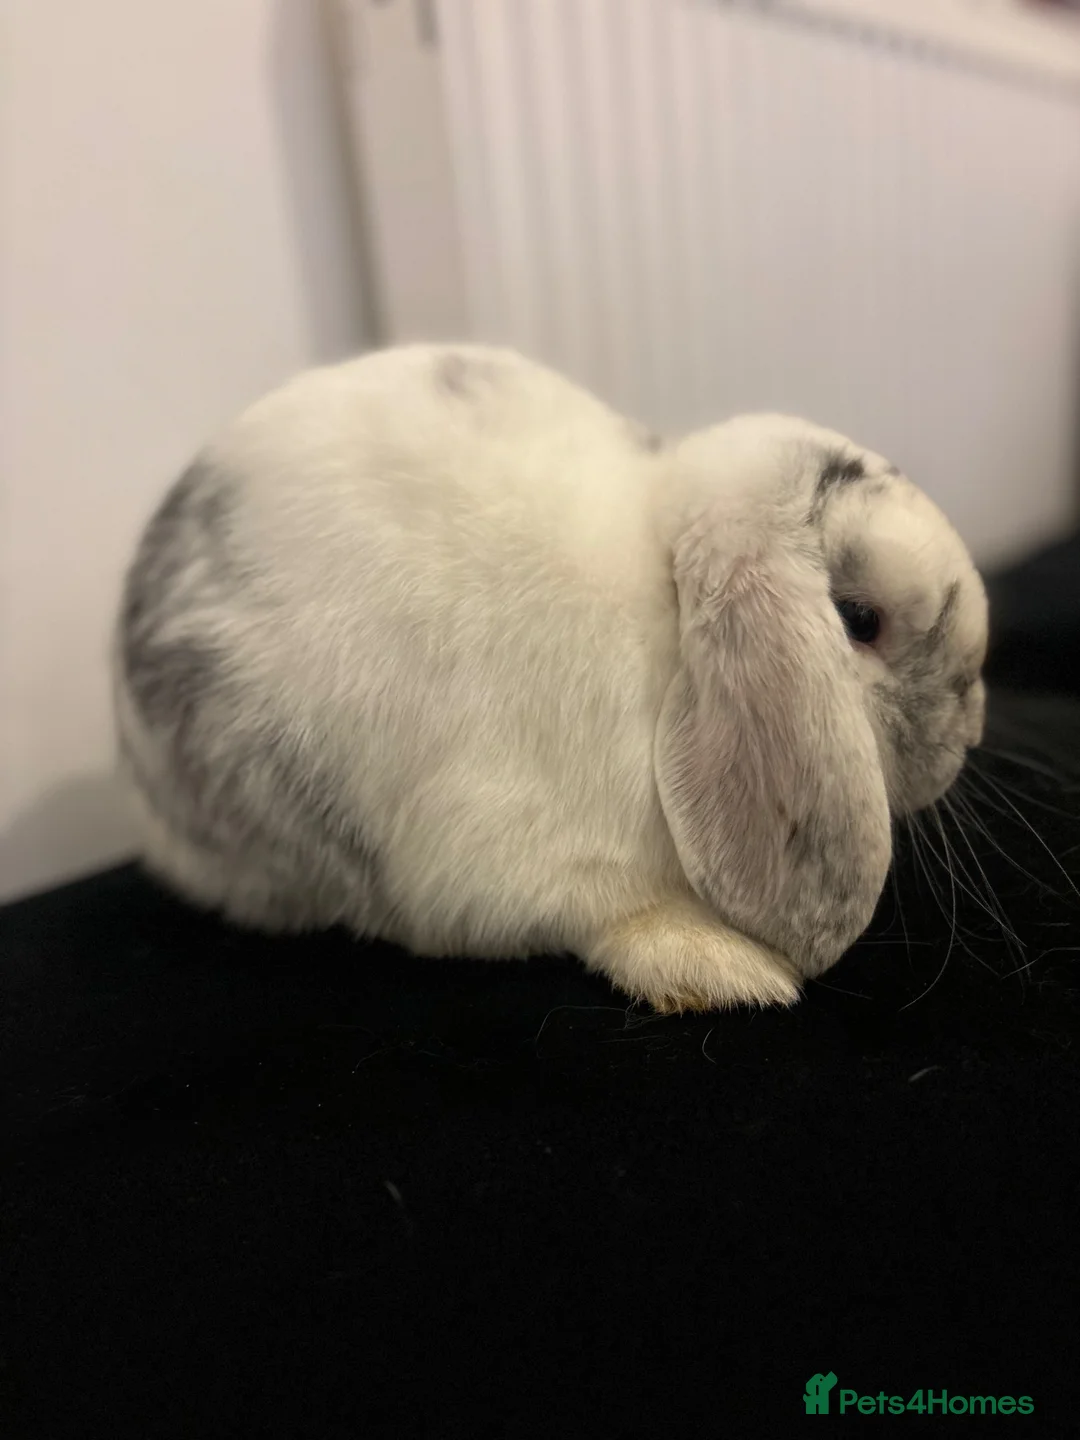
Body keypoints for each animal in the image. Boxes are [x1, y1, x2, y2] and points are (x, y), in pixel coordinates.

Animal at [115, 343, 988, 1013]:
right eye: (860, 620)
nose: (972, 728)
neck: (666, 602)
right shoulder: (510, 861)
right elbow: (609, 919)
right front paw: (723, 967)